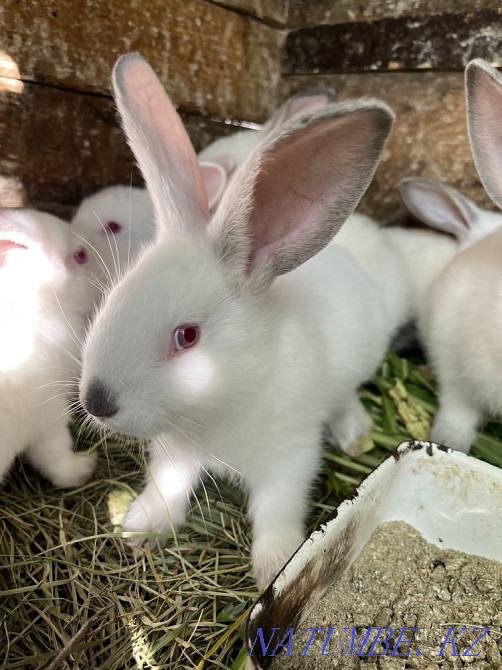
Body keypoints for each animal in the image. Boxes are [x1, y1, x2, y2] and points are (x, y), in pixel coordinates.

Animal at [78, 54, 394, 589]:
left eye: (187, 336)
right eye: (113, 298)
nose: (97, 401)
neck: (220, 403)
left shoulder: (290, 456)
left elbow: (277, 511)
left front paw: (275, 567)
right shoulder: (174, 453)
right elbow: (167, 487)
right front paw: (141, 527)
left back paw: (354, 433)